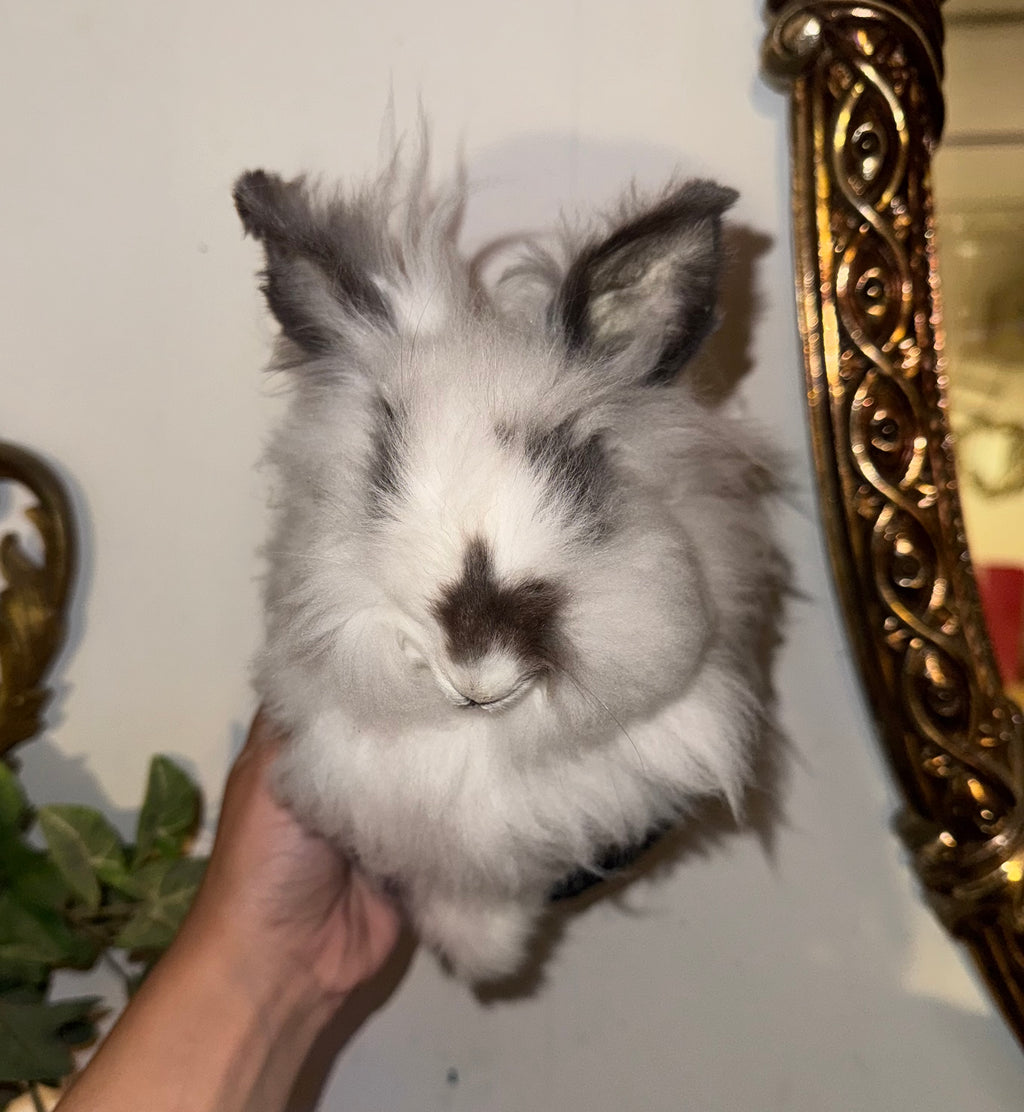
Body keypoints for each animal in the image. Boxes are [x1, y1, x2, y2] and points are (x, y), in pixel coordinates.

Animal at [233, 148, 782, 983]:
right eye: (383, 471)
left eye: (577, 470)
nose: (475, 666)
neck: (485, 744)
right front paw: (482, 951)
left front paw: (485, 952)